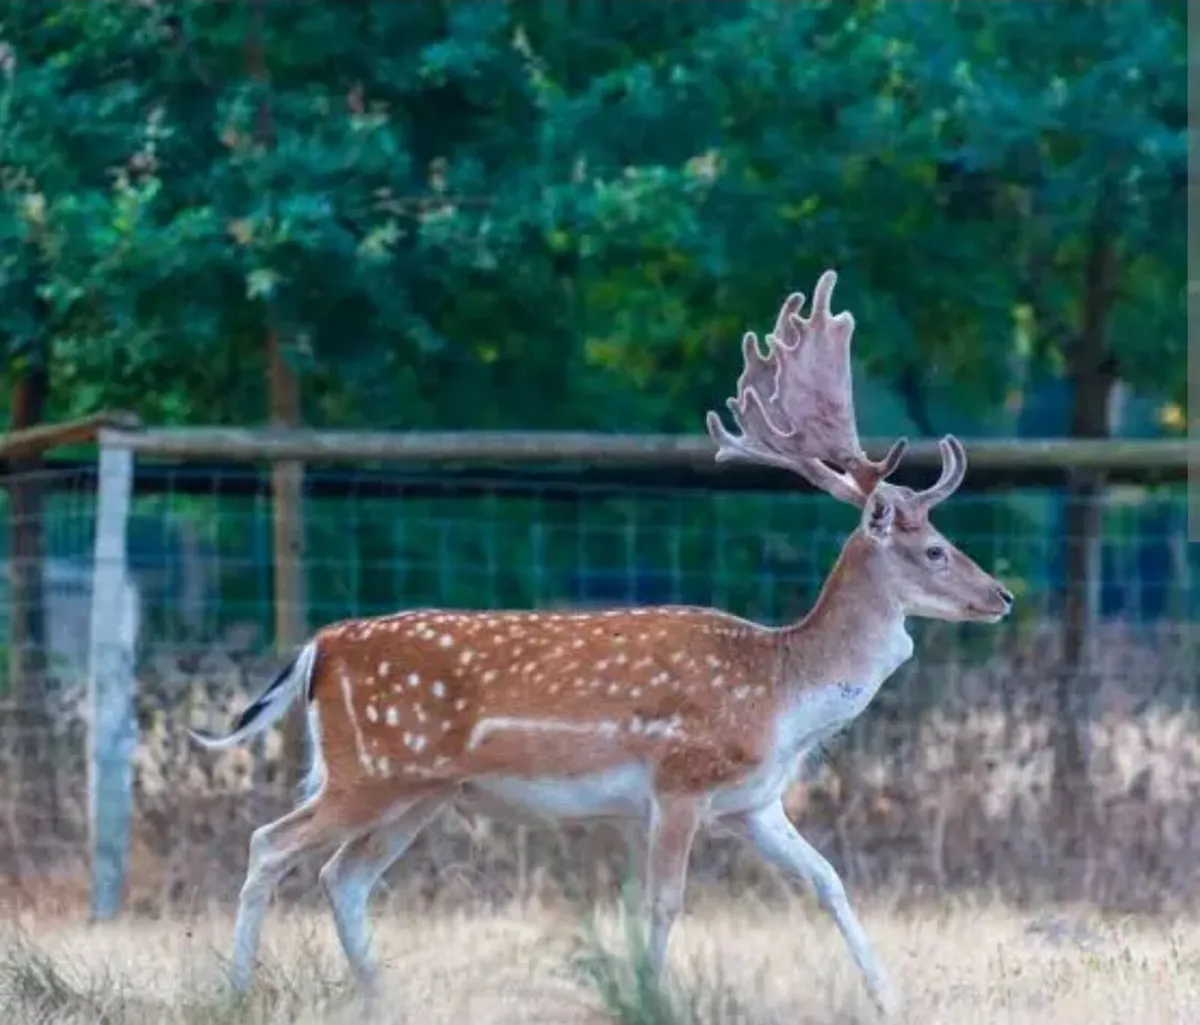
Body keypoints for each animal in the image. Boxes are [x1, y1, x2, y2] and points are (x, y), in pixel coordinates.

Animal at [191, 270, 1013, 1017]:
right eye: (936, 549)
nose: (1002, 596)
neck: (782, 695)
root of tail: (317, 648)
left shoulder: (753, 801)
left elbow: (828, 879)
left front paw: (887, 997)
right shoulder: (679, 779)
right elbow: (663, 903)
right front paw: (650, 997)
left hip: (419, 791)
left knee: (343, 875)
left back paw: (381, 997)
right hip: (369, 772)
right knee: (272, 844)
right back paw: (234, 992)